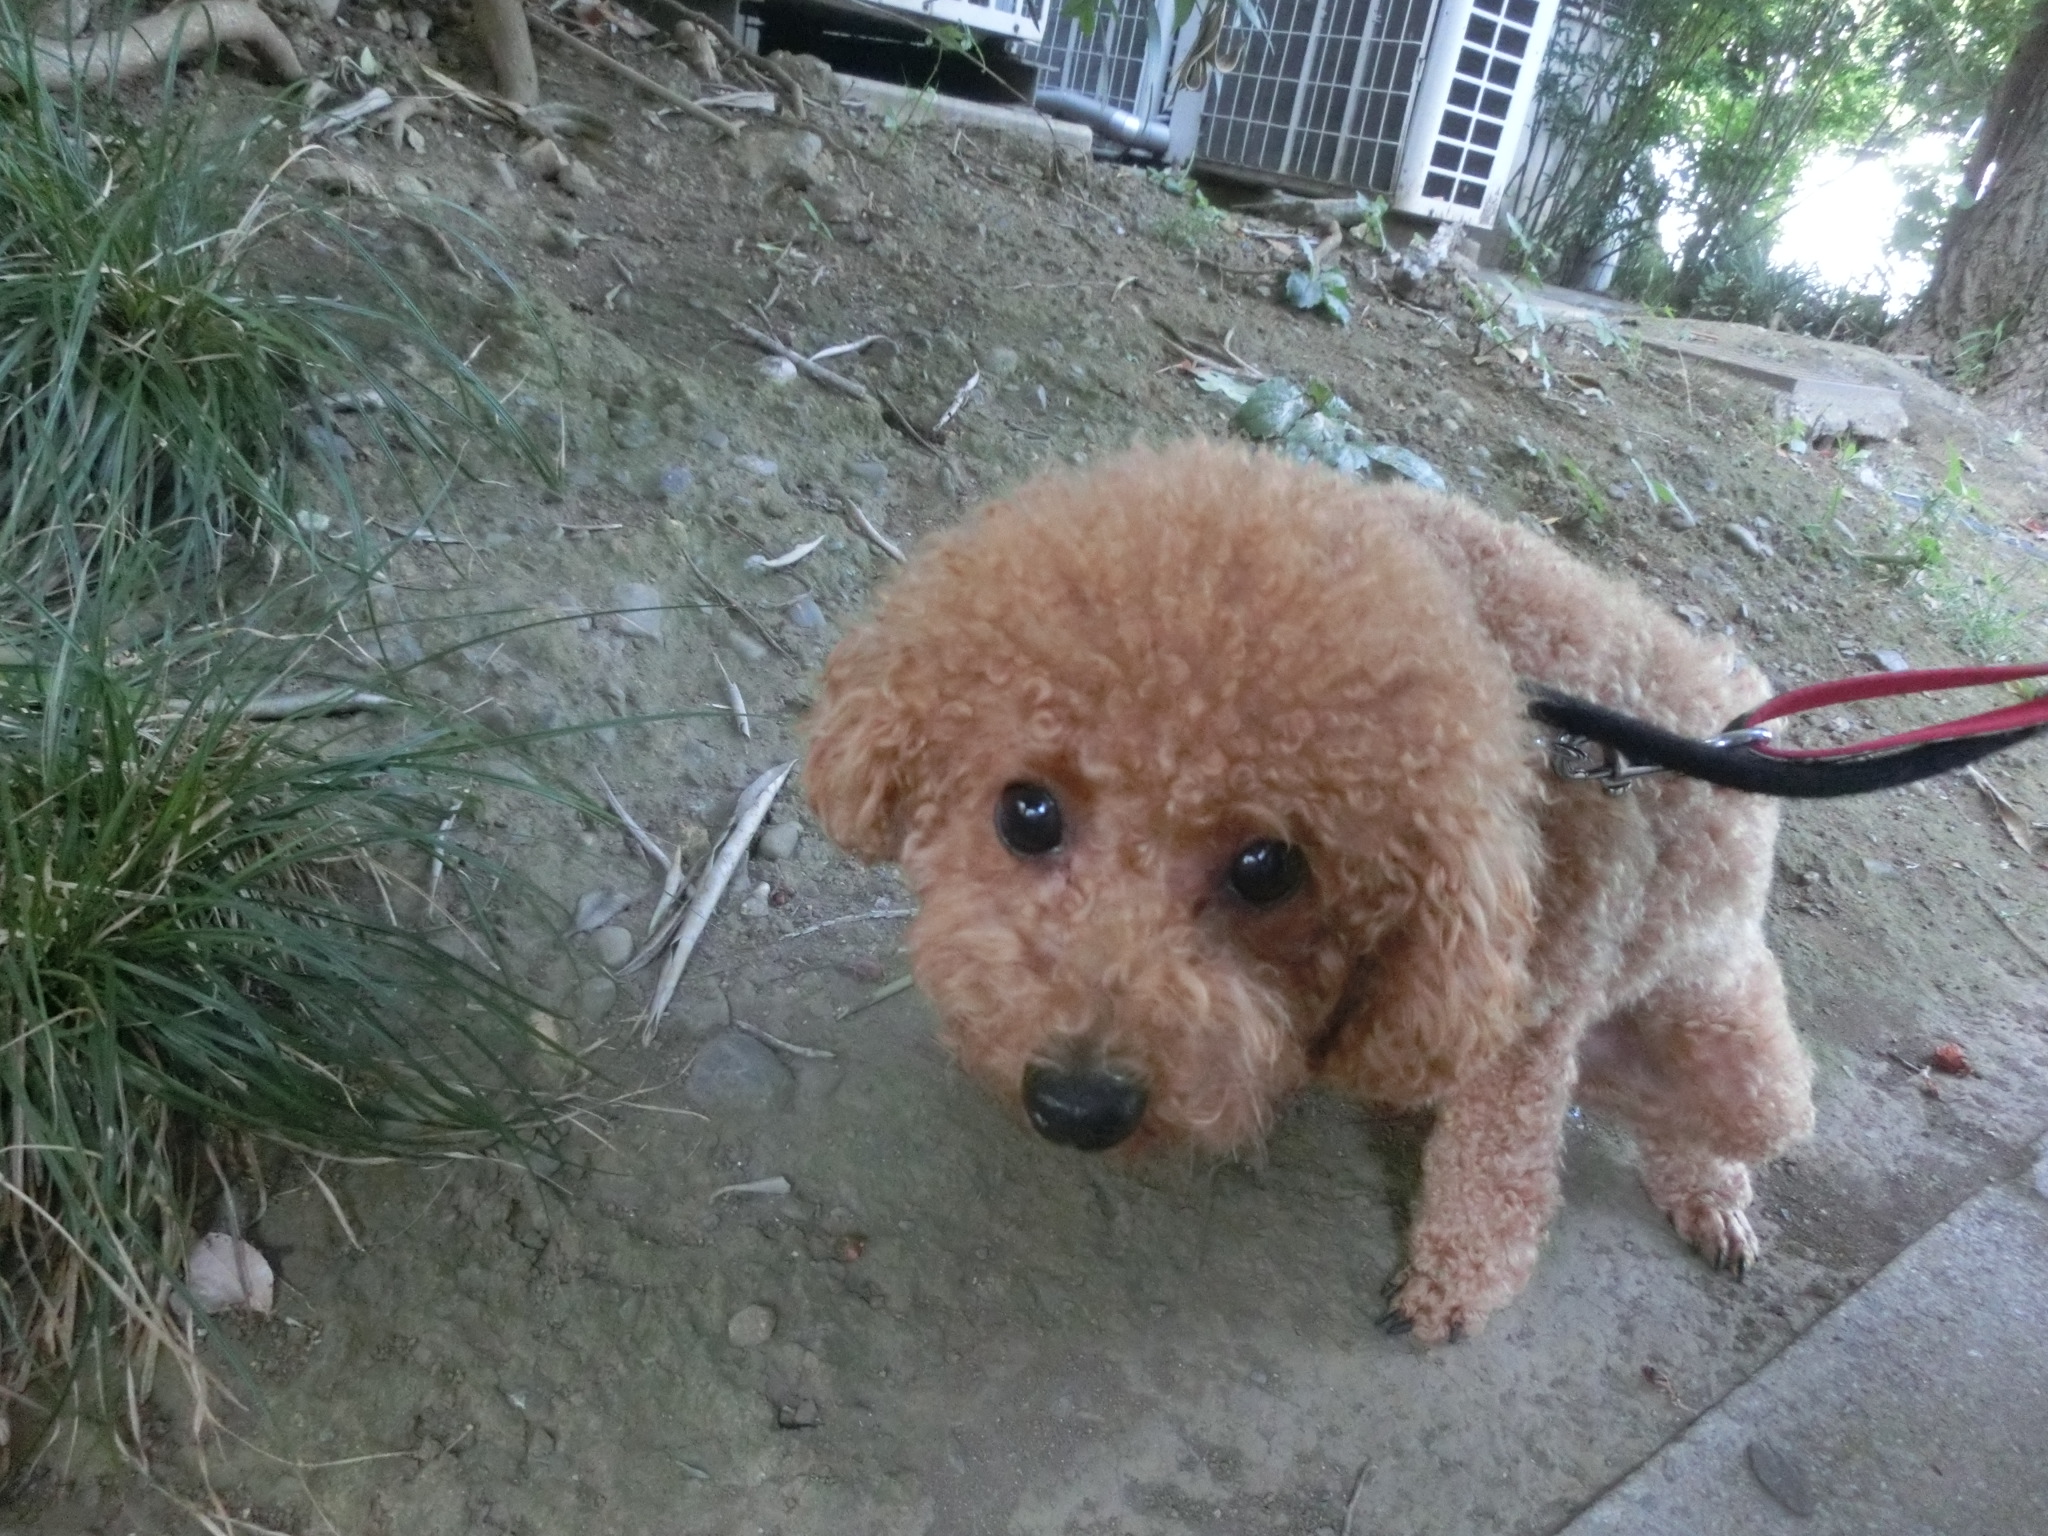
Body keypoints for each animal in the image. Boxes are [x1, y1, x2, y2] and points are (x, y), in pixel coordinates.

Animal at [805, 442, 1815, 1341]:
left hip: (1740, 1057)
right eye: (1027, 812)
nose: (1079, 1105)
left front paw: (1454, 1287)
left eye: (1268, 868)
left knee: (1712, 1127)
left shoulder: (1531, 1015)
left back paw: (1709, 1194)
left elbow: (1497, 1173)